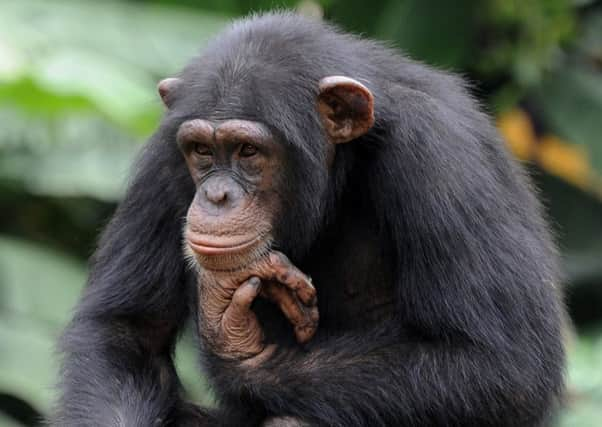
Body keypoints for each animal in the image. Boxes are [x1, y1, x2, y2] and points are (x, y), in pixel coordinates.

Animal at [51, 11, 564, 426]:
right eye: (201, 151)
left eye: (248, 151)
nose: (216, 195)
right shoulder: (165, 151)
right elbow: (126, 333)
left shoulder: (443, 156)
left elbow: (501, 365)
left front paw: (238, 345)